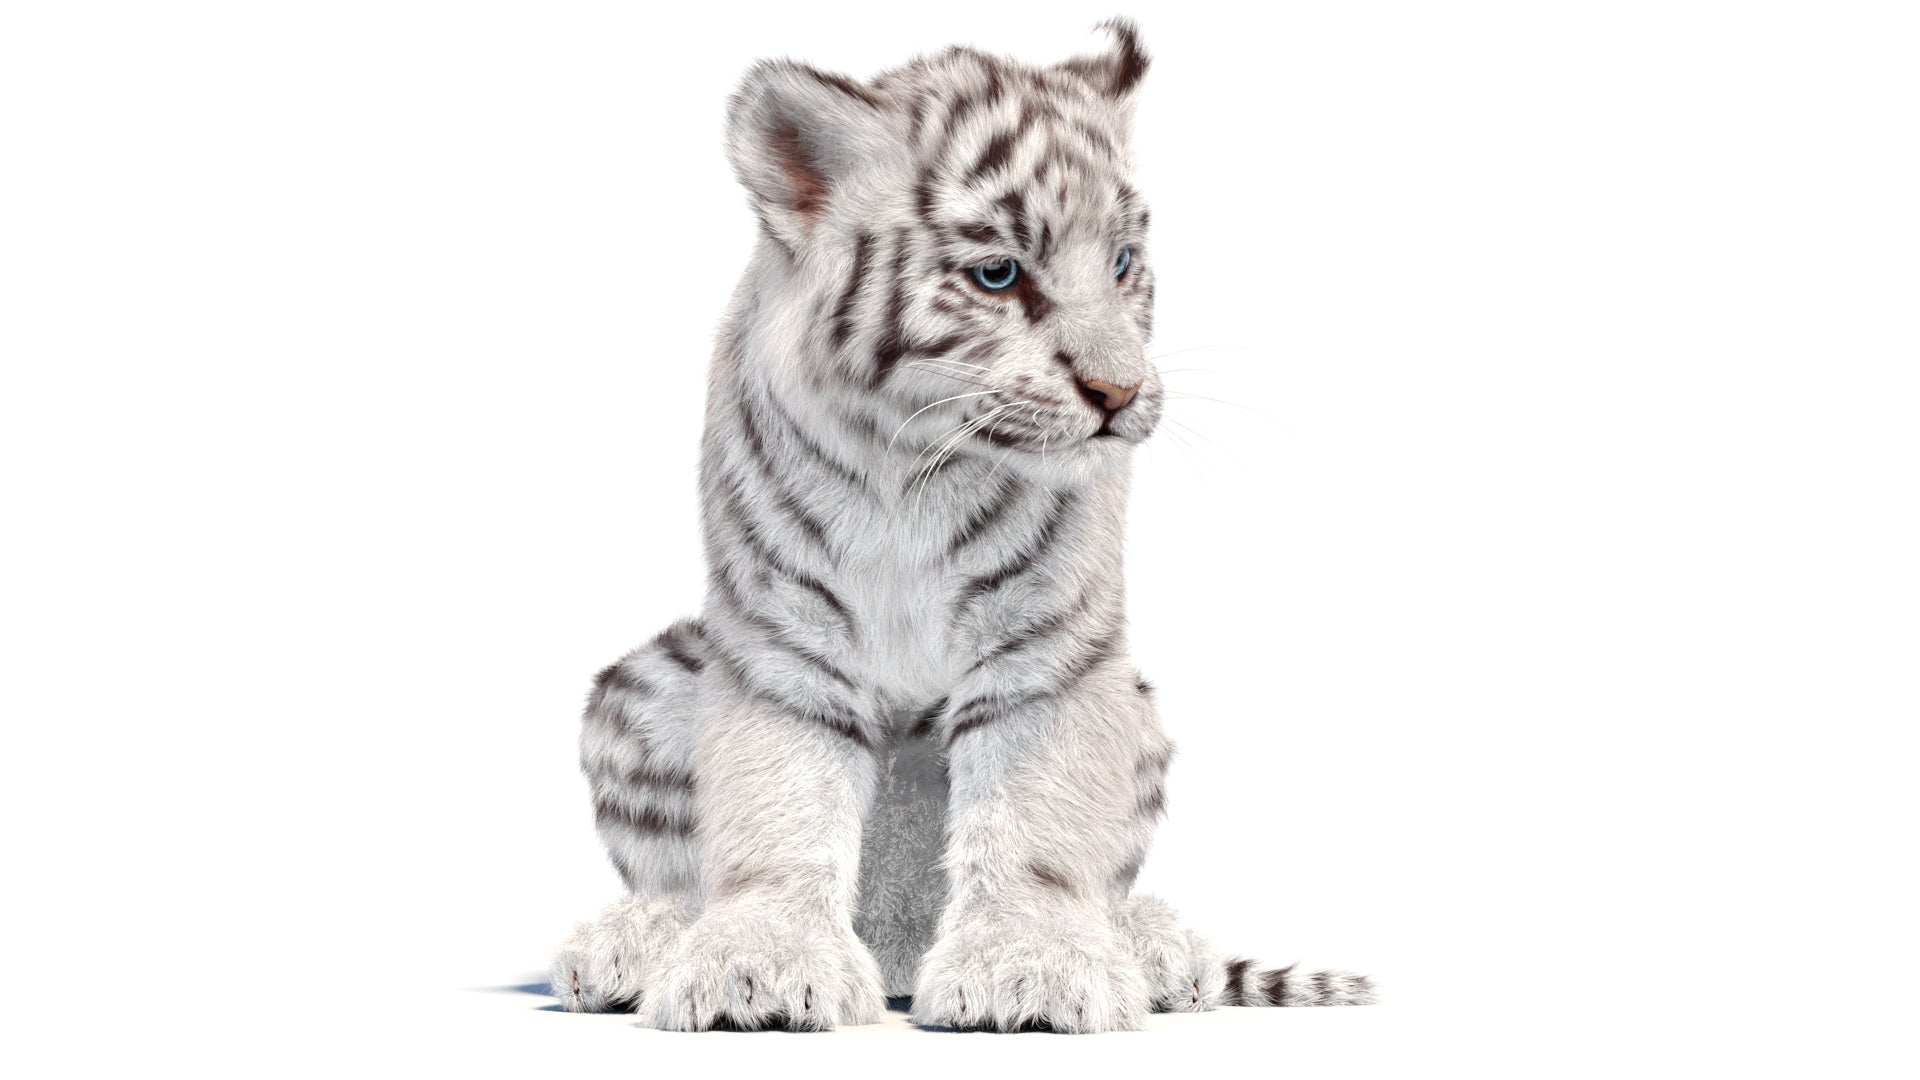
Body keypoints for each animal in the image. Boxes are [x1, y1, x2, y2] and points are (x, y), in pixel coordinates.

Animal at [548, 19, 1377, 1032]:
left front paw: (1031, 971)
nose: (1120, 393)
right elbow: (779, 802)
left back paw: (1155, 950)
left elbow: (1033, 819)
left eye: (1121, 263)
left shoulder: (1048, 647)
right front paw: (758, 971)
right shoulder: (782, 639)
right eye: (999, 274)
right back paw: (631, 945)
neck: (914, 464)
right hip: (644, 682)